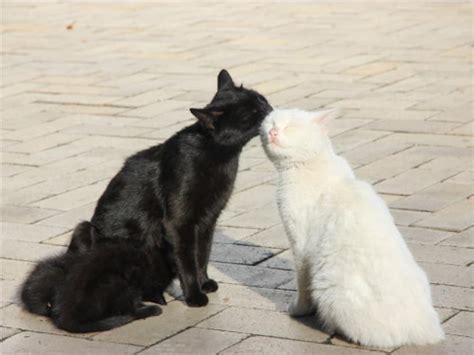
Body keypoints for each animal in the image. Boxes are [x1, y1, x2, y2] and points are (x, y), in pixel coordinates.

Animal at [20, 222, 172, 334]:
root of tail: (66, 316)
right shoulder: (134, 276)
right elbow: (134, 300)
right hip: (116, 281)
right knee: (126, 309)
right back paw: (149, 310)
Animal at [68, 69, 272, 306]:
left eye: (260, 99)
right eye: (252, 112)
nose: (268, 108)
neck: (218, 154)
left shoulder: (208, 220)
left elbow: (203, 254)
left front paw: (204, 282)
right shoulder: (179, 223)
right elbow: (187, 260)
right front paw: (194, 296)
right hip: (84, 229)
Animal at [260, 108, 444, 348]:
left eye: (290, 126)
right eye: (270, 123)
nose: (273, 132)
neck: (310, 165)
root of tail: (427, 330)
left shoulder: (300, 246)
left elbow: (302, 282)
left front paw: (299, 310)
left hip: (330, 288)